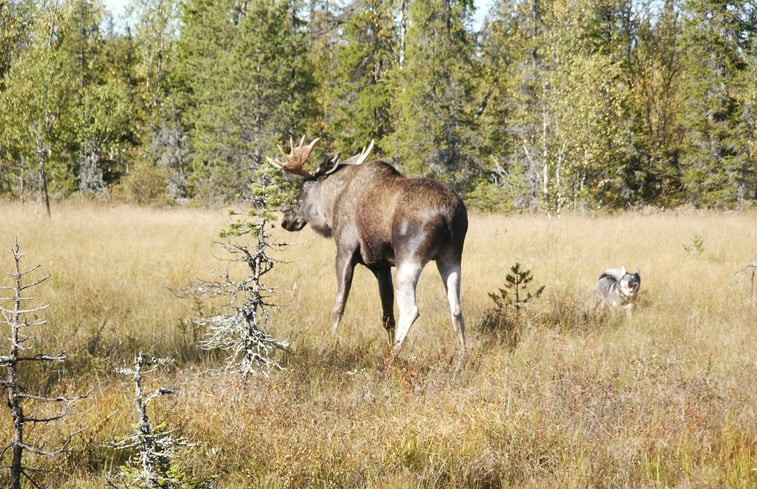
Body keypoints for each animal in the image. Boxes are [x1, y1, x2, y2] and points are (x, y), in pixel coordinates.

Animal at [268, 136, 464, 354]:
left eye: (303, 189)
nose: (287, 219)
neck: (331, 204)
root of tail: (447, 214)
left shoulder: (345, 251)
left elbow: (339, 306)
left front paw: (330, 341)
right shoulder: (382, 266)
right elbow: (387, 316)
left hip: (409, 257)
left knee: (410, 309)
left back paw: (394, 354)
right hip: (451, 256)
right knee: (456, 308)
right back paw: (463, 354)